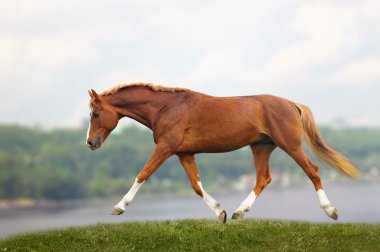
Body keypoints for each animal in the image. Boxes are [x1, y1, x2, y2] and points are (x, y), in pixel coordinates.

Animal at [86, 82, 360, 222]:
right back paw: (239, 212)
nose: (90, 143)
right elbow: (196, 185)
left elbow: (142, 174)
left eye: (96, 113)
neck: (167, 108)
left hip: (290, 145)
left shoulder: (165, 148)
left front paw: (119, 207)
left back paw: (331, 211)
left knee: (312, 171)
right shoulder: (184, 153)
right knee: (263, 179)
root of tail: (292, 104)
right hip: (261, 147)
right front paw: (221, 212)